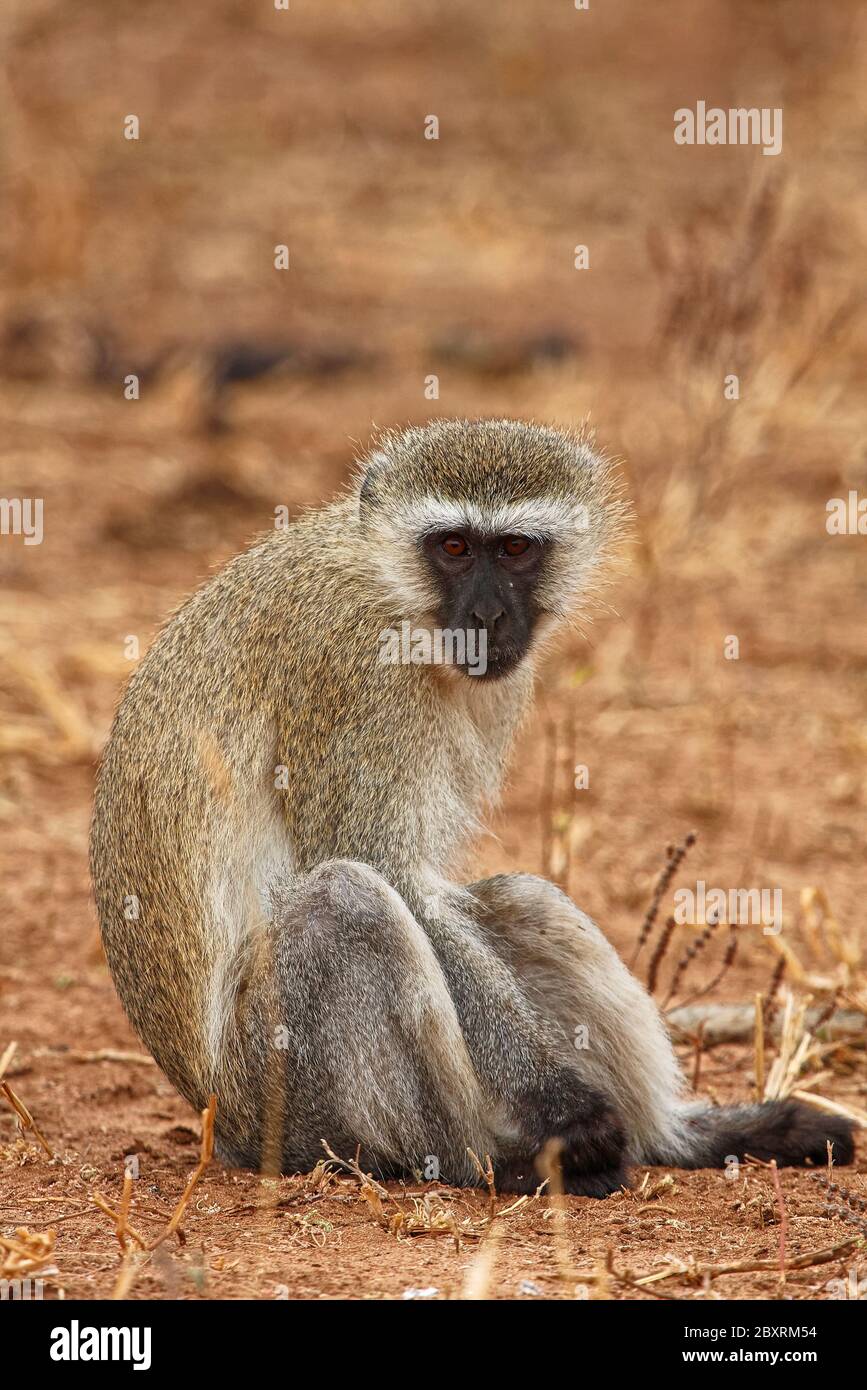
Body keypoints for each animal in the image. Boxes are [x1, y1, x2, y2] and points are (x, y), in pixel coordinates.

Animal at [90, 418, 856, 1195]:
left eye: (515, 548)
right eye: (453, 547)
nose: (487, 616)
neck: (392, 587)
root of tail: (215, 1122)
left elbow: (448, 894)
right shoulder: (354, 671)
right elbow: (393, 874)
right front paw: (563, 1104)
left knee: (518, 899)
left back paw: (681, 1137)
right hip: (277, 1102)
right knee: (348, 903)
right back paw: (488, 1162)